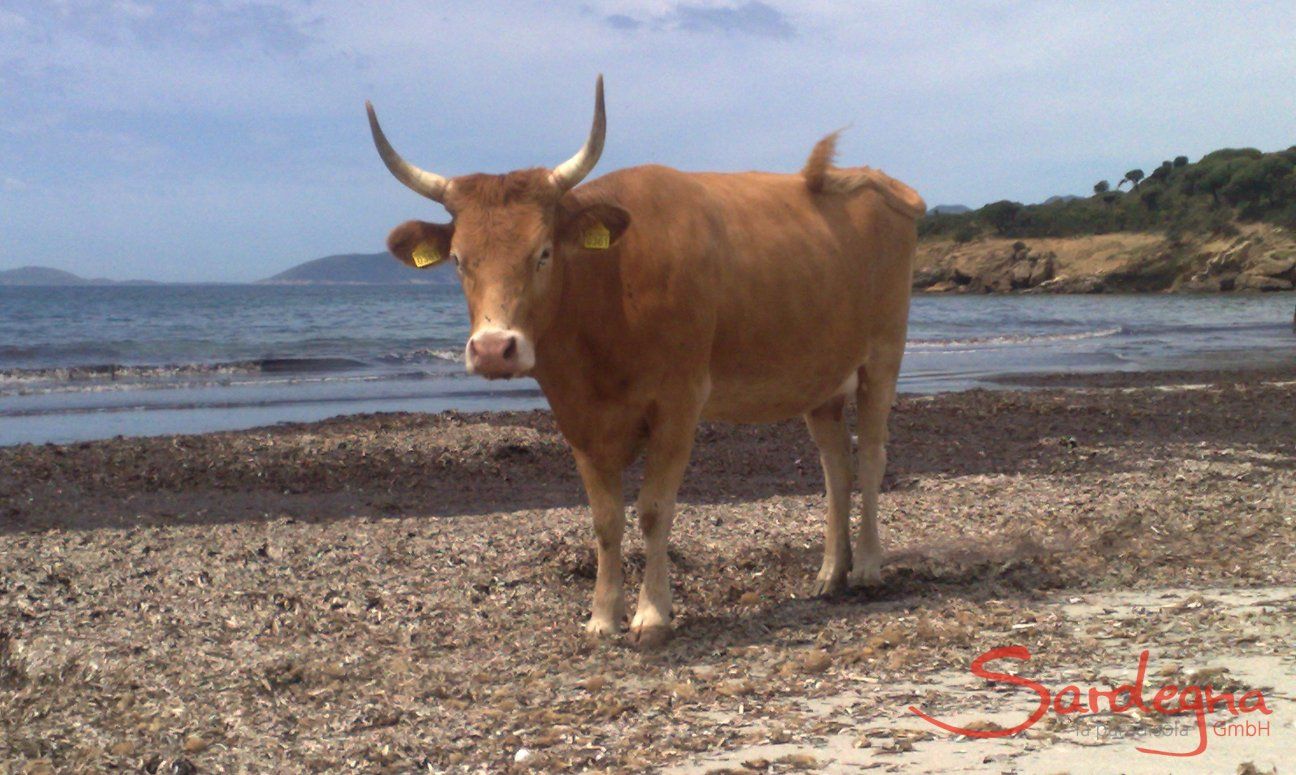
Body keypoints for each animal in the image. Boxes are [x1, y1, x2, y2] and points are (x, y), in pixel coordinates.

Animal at [370, 75, 927, 647]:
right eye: (459, 261)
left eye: (543, 252)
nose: (492, 349)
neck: (611, 292)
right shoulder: (577, 416)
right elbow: (605, 520)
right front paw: (602, 615)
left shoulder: (680, 403)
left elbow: (654, 510)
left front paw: (652, 613)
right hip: (821, 379)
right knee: (835, 466)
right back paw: (830, 572)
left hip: (883, 356)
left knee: (871, 456)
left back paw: (867, 566)